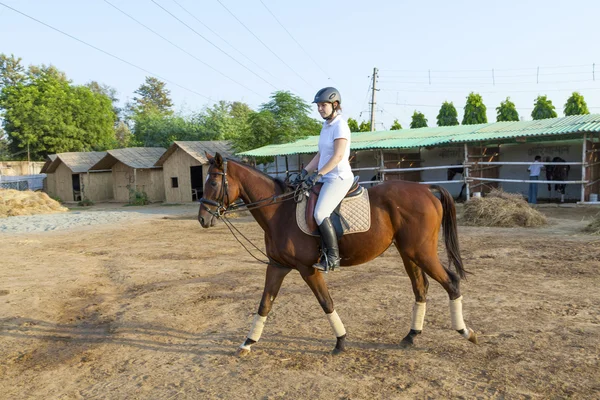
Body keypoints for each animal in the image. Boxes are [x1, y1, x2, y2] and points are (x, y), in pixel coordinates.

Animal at [198, 153, 478, 356]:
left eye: (212, 182)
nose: (202, 219)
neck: (280, 212)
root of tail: (427, 190)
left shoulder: (307, 269)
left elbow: (326, 302)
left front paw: (341, 342)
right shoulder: (277, 266)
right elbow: (265, 303)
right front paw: (247, 343)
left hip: (421, 252)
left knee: (451, 282)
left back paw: (466, 332)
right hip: (408, 253)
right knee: (421, 288)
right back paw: (411, 336)